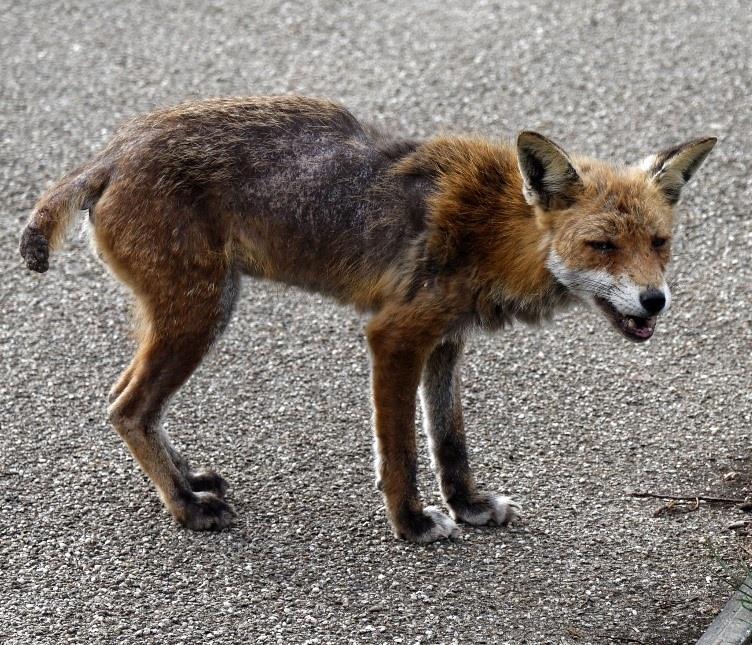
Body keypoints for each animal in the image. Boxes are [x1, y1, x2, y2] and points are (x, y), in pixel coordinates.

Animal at [19, 95, 716, 540]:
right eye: (602, 246)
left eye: (659, 244)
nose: (655, 300)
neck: (497, 230)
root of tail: (115, 149)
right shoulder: (394, 336)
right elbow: (401, 450)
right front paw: (412, 523)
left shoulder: (445, 341)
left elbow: (449, 441)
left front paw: (468, 506)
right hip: (200, 315)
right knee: (127, 408)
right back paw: (187, 508)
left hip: (195, 312)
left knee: (130, 401)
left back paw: (188, 480)